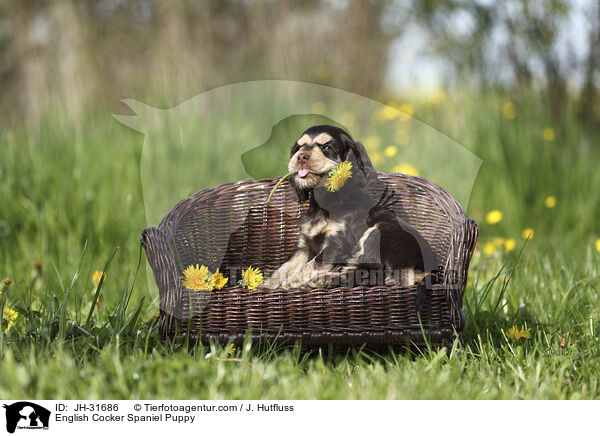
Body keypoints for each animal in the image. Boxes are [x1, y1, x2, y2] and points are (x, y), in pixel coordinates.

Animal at [262, 124, 436, 292]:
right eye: (299, 147)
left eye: (327, 147)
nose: (301, 157)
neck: (326, 204)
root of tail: (427, 271)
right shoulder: (304, 246)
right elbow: (285, 267)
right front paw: (266, 285)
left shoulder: (338, 243)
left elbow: (313, 264)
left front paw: (294, 281)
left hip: (378, 233)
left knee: (369, 274)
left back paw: (323, 279)